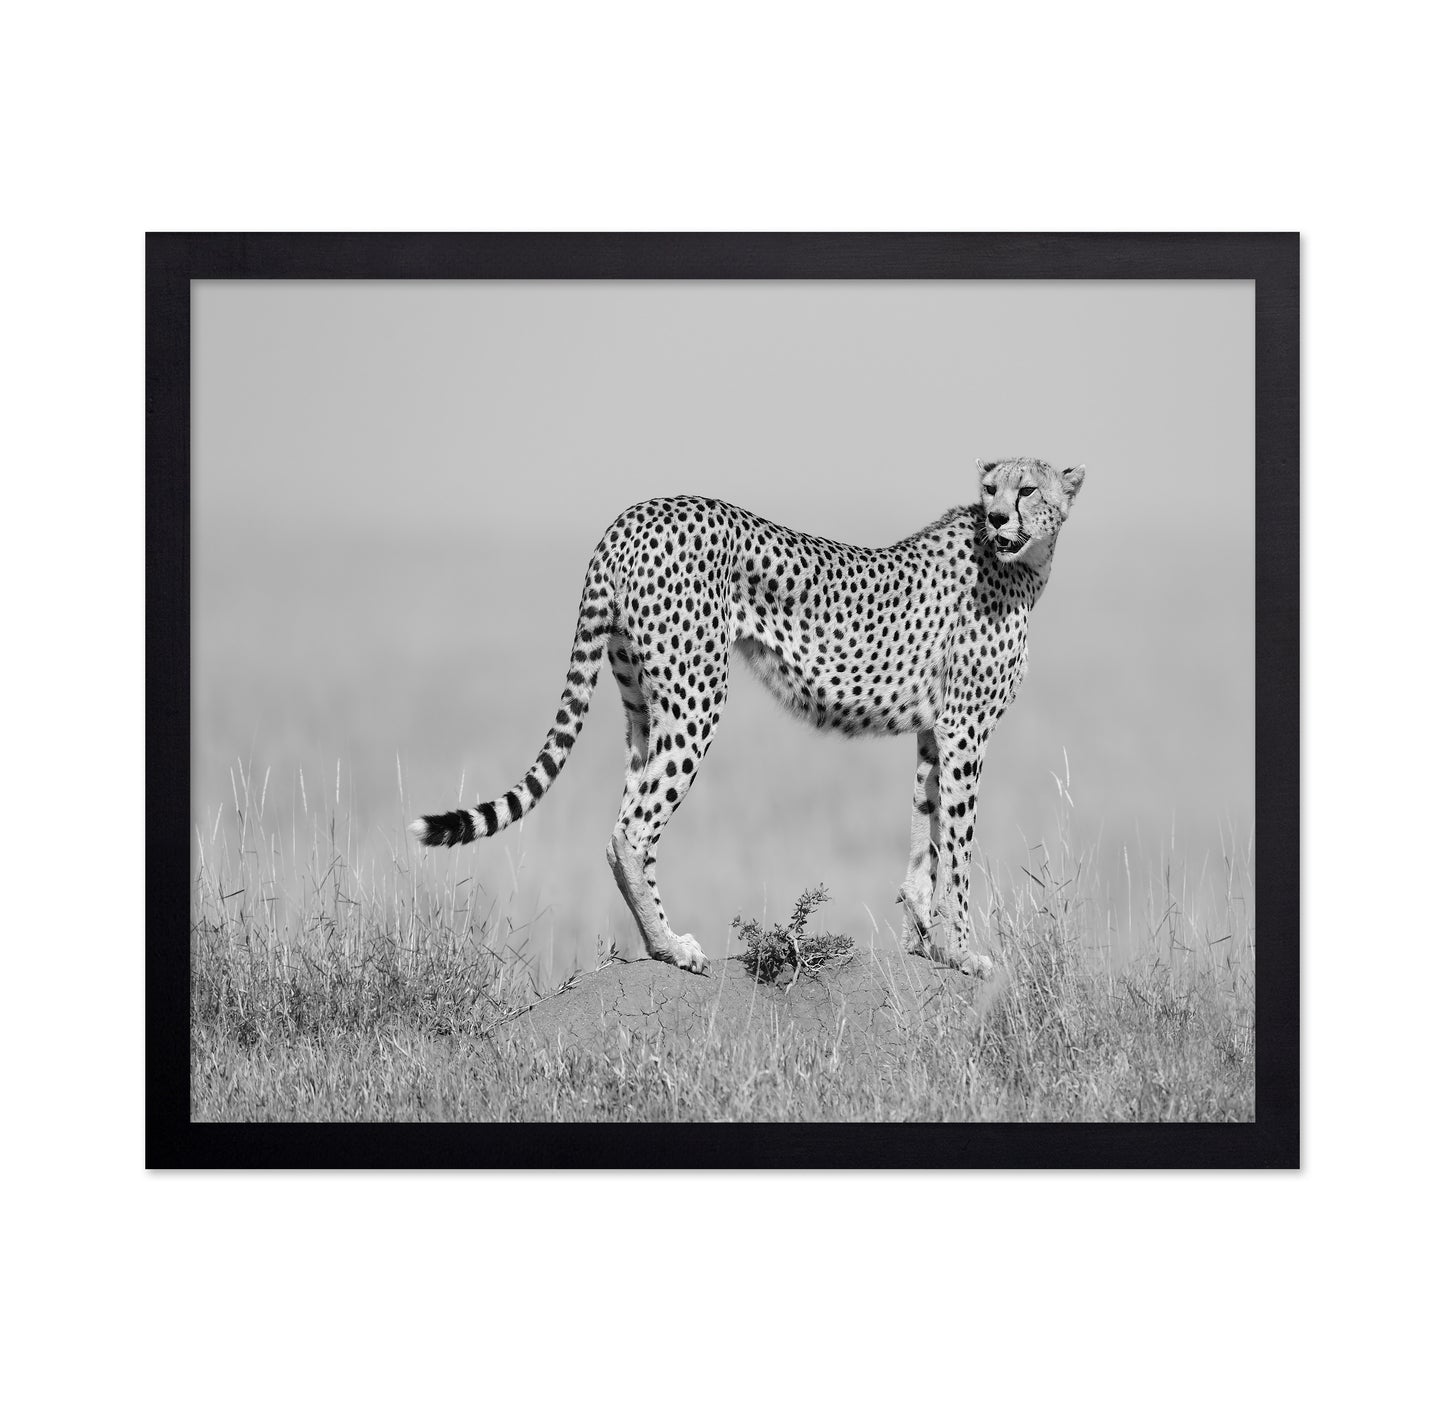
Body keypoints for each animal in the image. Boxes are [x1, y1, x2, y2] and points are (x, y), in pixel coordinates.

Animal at [411, 456, 1084, 977]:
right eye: (991, 490)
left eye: (1027, 490)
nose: (997, 518)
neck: (1023, 563)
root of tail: (634, 514)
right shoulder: (965, 730)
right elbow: (960, 845)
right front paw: (964, 951)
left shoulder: (932, 730)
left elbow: (927, 831)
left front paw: (927, 937)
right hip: (697, 696)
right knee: (632, 830)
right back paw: (672, 948)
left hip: (643, 704)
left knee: (624, 821)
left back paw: (658, 943)